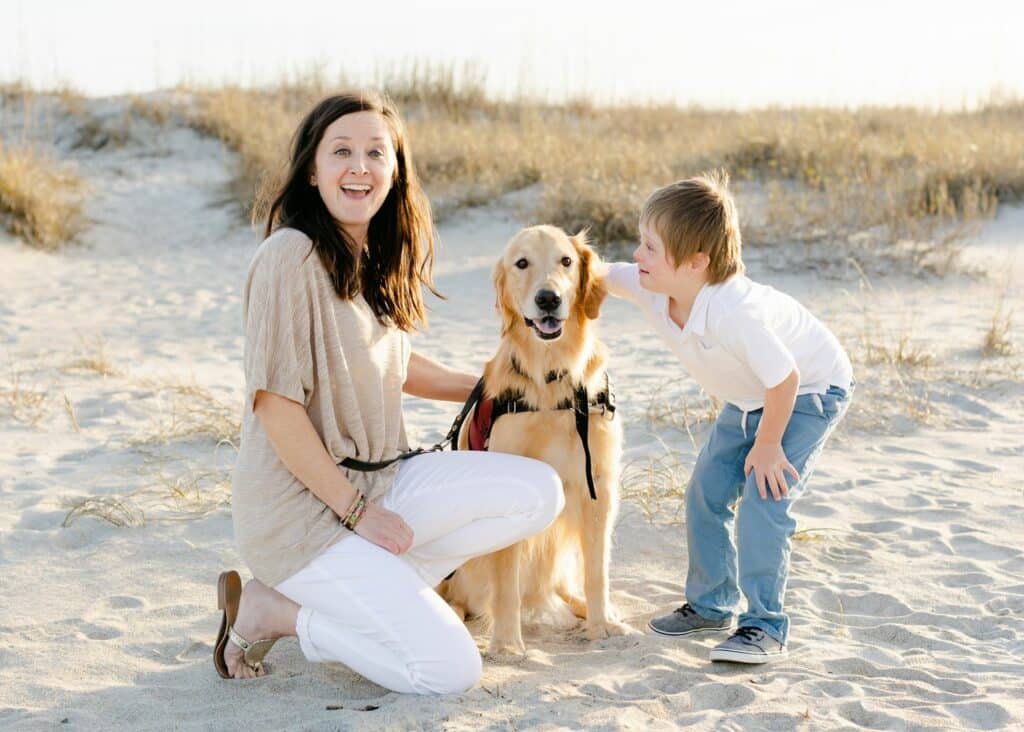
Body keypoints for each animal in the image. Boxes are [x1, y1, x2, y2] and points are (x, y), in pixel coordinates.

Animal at [440, 226, 630, 655]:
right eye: (521, 263)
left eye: (566, 261)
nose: (549, 299)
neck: (551, 378)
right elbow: (505, 580)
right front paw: (508, 643)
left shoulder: (598, 487)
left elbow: (597, 572)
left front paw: (601, 626)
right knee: (458, 598)